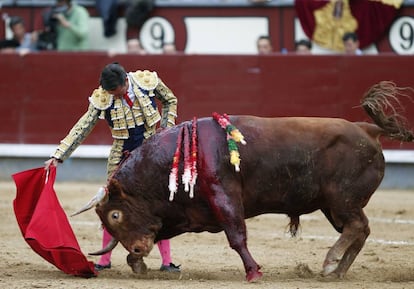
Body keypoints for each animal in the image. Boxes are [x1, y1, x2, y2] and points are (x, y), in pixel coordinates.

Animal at [75, 80, 414, 280]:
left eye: (115, 215)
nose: (135, 249)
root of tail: (366, 129)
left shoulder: (224, 197)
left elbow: (236, 236)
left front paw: (253, 272)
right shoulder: (183, 214)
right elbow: (161, 234)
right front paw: (138, 265)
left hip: (341, 199)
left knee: (356, 227)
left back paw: (330, 263)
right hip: (333, 205)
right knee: (361, 229)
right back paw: (337, 271)